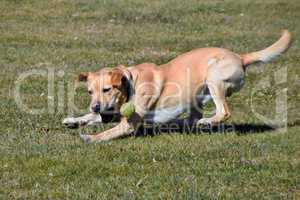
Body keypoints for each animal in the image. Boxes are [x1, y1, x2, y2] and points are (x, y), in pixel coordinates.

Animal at [64, 29, 292, 143]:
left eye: (107, 89)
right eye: (89, 92)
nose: (95, 105)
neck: (130, 82)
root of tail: (241, 57)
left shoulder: (128, 123)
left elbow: (107, 132)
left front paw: (90, 137)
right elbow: (92, 118)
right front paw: (74, 120)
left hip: (213, 78)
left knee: (222, 112)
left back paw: (205, 122)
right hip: (198, 95)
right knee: (191, 119)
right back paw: (176, 123)